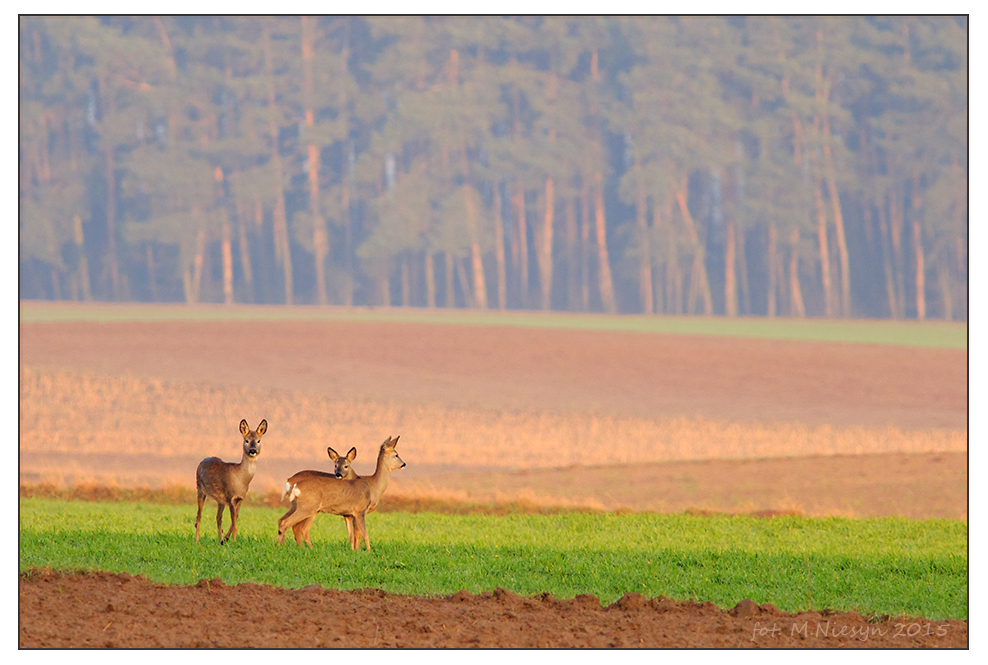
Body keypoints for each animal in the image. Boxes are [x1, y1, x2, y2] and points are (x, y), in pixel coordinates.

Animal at [278, 434, 406, 548]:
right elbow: (362, 534)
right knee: (292, 525)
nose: (404, 464)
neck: (373, 485)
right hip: (308, 508)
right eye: (396, 454)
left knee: (284, 522)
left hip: (301, 507)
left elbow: (352, 535)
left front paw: (354, 551)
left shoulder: (348, 514)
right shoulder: (360, 511)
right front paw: (366, 552)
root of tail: (292, 482)